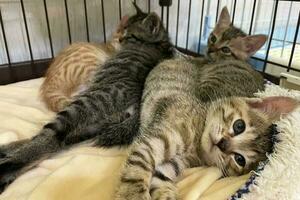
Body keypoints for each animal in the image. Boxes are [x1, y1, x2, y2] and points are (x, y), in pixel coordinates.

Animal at [0, 4, 171, 192]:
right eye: (123, 31)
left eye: (129, 34)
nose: (120, 39)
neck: (157, 44)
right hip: (95, 124)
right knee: (61, 141)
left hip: (81, 106)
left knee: (49, 139)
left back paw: (7, 166)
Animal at [115, 57, 298, 199]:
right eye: (239, 126)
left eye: (240, 159)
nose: (223, 144)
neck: (196, 143)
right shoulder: (153, 142)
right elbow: (137, 172)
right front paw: (131, 195)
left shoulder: (175, 163)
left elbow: (160, 179)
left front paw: (166, 195)